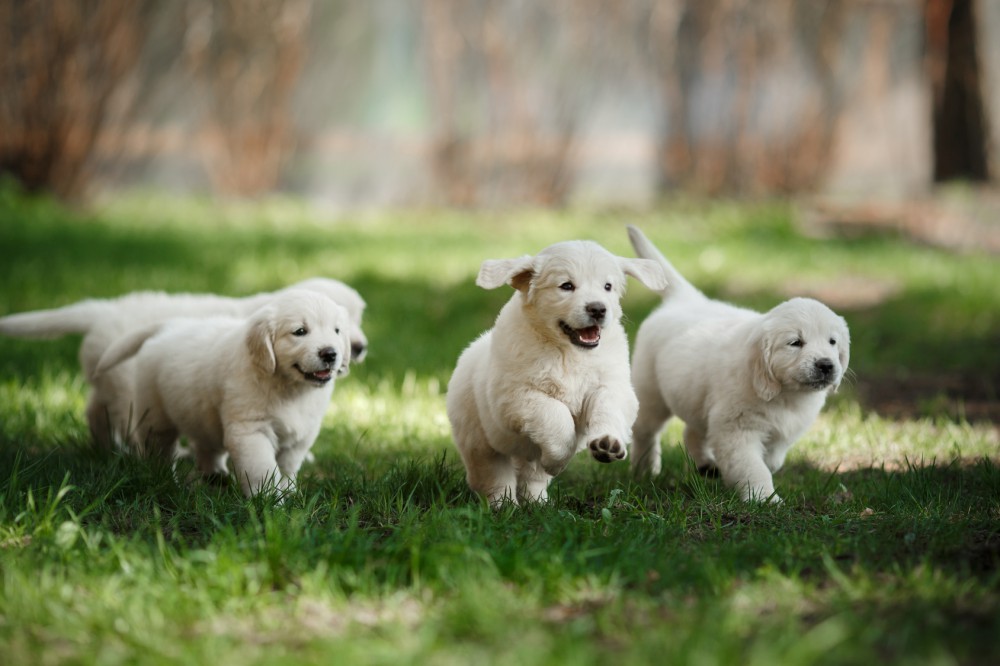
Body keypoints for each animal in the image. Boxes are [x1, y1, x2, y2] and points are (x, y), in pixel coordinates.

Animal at [0, 274, 368, 446]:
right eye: (303, 330)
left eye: (358, 317)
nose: (359, 348)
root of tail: (102, 311)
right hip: (127, 383)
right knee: (124, 418)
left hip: (107, 378)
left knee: (94, 410)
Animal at [94, 288, 352, 496]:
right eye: (299, 331)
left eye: (337, 331)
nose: (330, 353)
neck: (289, 387)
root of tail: (170, 326)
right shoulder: (250, 431)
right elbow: (263, 469)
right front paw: (269, 502)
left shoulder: (302, 435)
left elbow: (287, 466)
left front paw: (289, 492)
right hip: (155, 416)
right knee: (159, 450)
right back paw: (165, 479)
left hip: (202, 414)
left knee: (206, 447)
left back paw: (216, 477)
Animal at [444, 239, 664, 504]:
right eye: (566, 286)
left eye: (607, 286)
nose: (598, 309)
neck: (568, 352)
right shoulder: (514, 396)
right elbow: (555, 415)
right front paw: (558, 461)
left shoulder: (611, 385)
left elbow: (608, 408)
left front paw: (607, 443)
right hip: (479, 440)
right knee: (493, 476)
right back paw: (505, 505)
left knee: (533, 477)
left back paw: (538, 503)